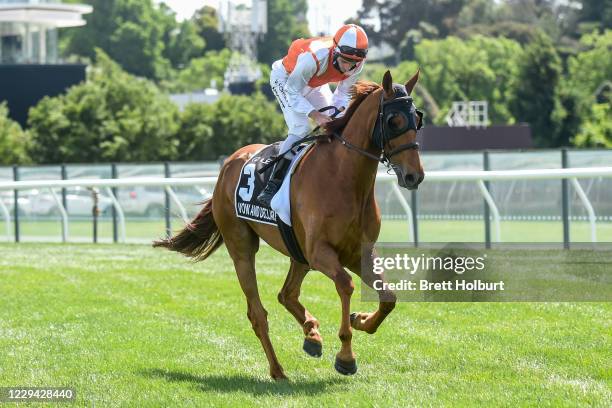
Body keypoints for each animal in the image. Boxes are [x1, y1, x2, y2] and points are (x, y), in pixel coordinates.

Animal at [153, 70, 424, 380]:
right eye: (394, 121)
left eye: (417, 119)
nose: (414, 176)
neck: (344, 178)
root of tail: (227, 166)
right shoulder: (320, 253)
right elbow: (346, 285)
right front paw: (346, 356)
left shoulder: (359, 252)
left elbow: (389, 297)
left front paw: (361, 320)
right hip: (243, 248)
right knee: (258, 313)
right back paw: (278, 369)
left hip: (298, 252)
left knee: (287, 294)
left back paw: (312, 334)